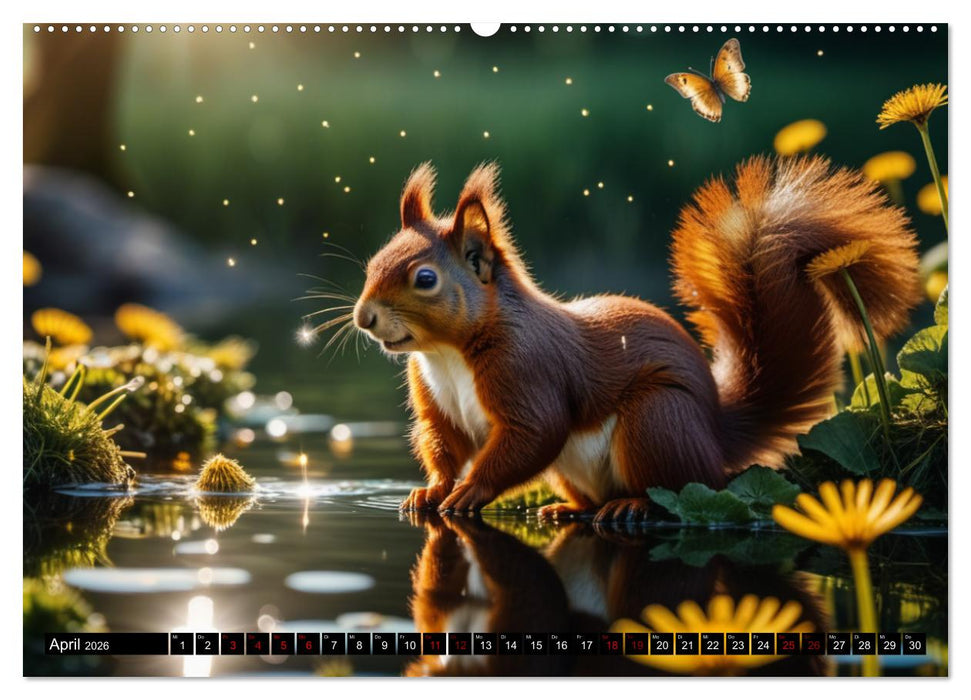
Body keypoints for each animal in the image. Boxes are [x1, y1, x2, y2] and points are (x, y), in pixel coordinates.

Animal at [353, 156, 920, 521]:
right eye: (373, 262)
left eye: (425, 279)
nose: (363, 318)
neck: (447, 353)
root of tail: (716, 437)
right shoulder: (437, 401)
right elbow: (444, 441)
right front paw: (431, 491)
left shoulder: (528, 370)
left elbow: (534, 432)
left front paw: (471, 491)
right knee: (591, 499)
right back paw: (567, 509)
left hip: (656, 422)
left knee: (680, 490)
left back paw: (632, 505)